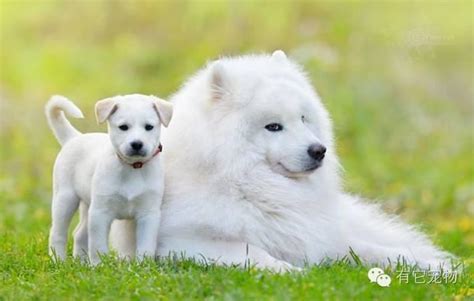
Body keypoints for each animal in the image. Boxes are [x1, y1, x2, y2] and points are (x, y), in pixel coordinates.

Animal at [45, 93, 172, 262]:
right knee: (58, 233)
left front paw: (143, 264)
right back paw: (59, 261)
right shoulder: (100, 213)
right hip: (65, 199)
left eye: (149, 127)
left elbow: (146, 246)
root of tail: (73, 138)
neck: (132, 168)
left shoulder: (148, 214)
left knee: (79, 234)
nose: (137, 144)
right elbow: (97, 246)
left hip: (87, 205)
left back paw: (80, 263)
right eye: (123, 127)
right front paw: (98, 265)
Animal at [109, 50, 454, 270]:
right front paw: (294, 273)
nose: (319, 150)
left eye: (302, 119)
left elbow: (368, 249)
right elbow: (256, 253)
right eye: (273, 126)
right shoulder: (183, 243)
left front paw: (432, 265)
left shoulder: (314, 236)